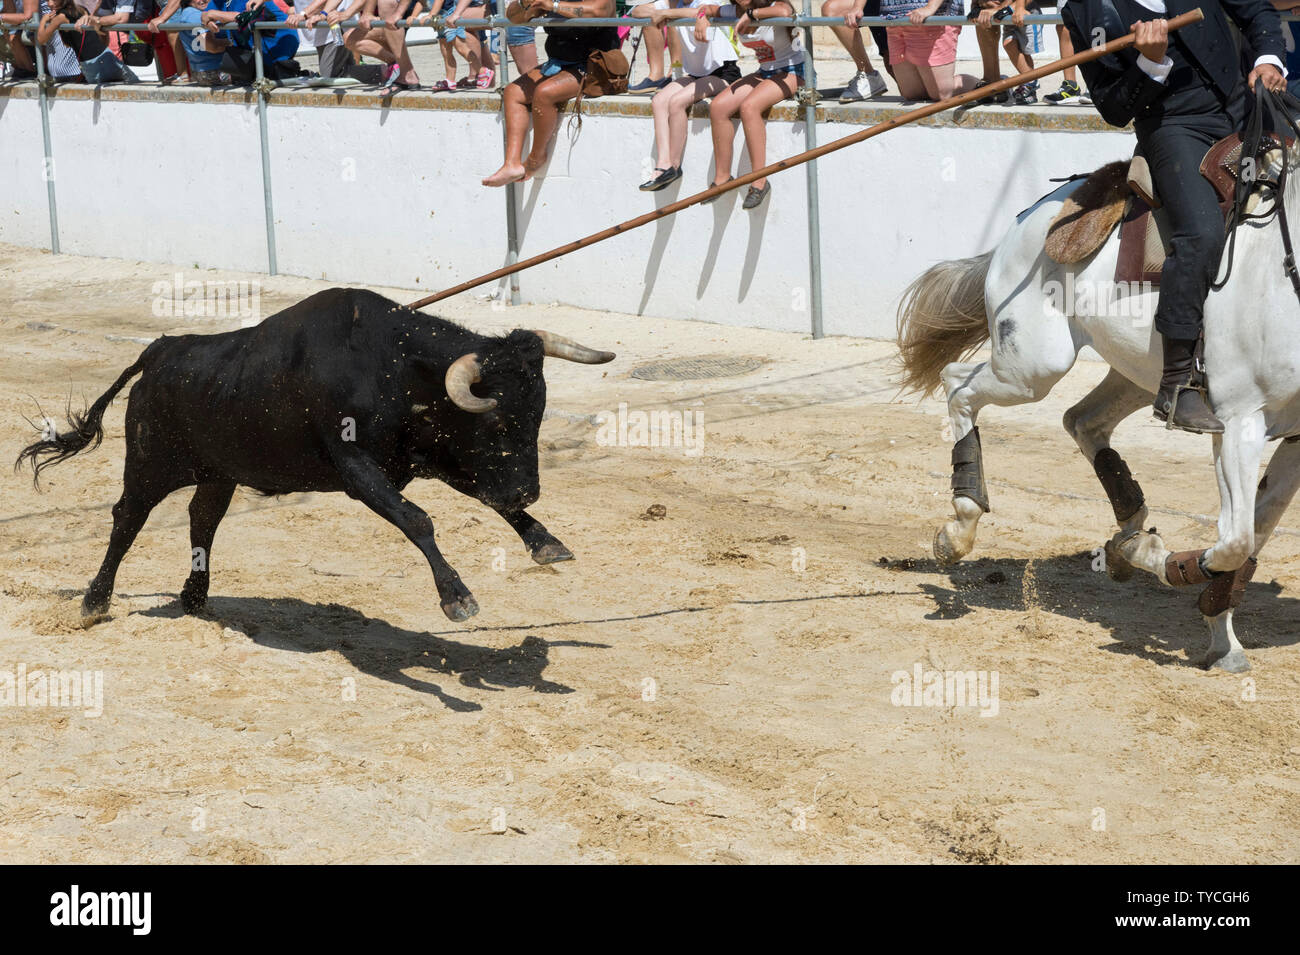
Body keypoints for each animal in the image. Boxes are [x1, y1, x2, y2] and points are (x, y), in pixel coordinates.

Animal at [15, 287, 613, 623]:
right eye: (494, 420)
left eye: (538, 411)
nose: (529, 489)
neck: (391, 366)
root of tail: (163, 350)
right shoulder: (357, 468)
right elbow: (417, 520)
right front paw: (457, 597)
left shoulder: (429, 457)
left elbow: (486, 501)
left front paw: (546, 542)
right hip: (149, 463)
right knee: (127, 519)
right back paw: (94, 603)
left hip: (220, 471)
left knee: (202, 518)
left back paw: (195, 598)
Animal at [899, 151, 1300, 670]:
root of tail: (1040, 208)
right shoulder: (1239, 424)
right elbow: (1236, 540)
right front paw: (1166, 563)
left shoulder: (1293, 438)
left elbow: (1254, 534)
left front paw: (1221, 638)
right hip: (1033, 366)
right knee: (957, 386)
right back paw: (960, 527)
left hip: (1137, 375)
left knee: (1082, 419)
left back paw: (1126, 529)